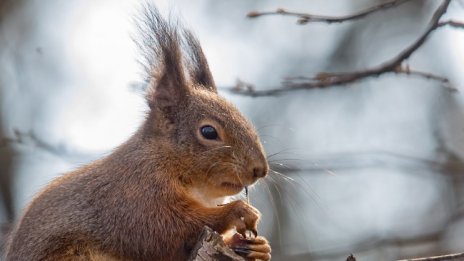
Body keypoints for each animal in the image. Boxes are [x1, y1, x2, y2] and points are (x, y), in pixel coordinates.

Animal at [4, 3, 272, 260]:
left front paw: (259, 248)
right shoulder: (134, 196)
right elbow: (165, 228)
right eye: (208, 132)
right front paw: (237, 211)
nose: (260, 170)